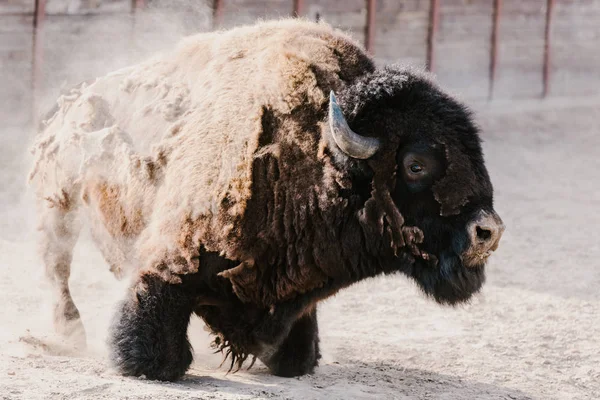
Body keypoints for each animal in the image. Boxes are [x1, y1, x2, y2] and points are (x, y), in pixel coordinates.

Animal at [30, 19, 504, 382]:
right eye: (416, 164)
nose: (488, 231)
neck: (312, 154)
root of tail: (73, 99)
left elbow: (295, 356)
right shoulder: (172, 258)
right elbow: (155, 352)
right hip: (57, 208)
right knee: (57, 268)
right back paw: (69, 334)